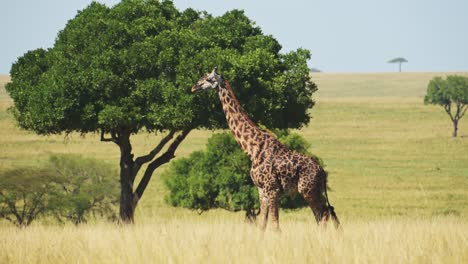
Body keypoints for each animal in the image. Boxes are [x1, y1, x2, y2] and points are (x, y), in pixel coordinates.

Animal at [191, 68, 340, 231]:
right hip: (313, 190)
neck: (252, 149)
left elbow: (275, 225)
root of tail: (322, 172)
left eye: (209, 79)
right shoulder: (261, 190)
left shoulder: (272, 189)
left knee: (324, 213)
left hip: (307, 190)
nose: (194, 87)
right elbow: (262, 224)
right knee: (324, 213)